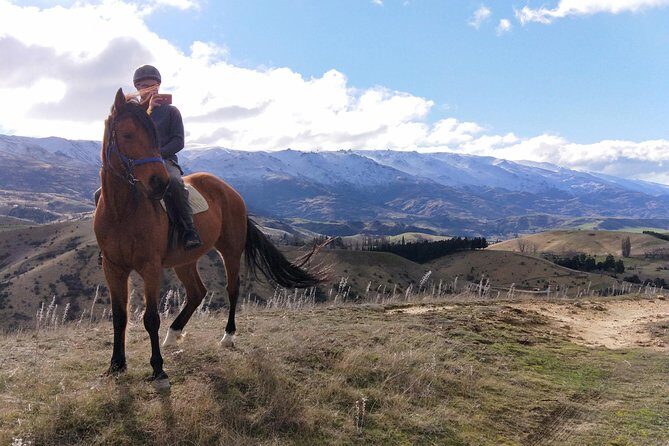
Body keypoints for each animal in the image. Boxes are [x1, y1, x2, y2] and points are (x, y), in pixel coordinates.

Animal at [94, 88, 327, 388]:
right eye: (127, 135)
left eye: (154, 137)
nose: (160, 183)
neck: (123, 211)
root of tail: (231, 191)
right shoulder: (113, 267)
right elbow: (119, 317)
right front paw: (116, 365)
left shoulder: (150, 267)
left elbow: (151, 318)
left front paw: (158, 370)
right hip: (184, 260)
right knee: (197, 292)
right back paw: (173, 335)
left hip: (230, 250)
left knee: (232, 289)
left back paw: (227, 336)